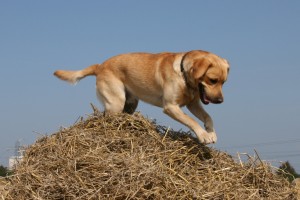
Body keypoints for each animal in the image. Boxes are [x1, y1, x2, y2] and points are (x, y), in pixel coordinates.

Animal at [54, 50, 230, 144]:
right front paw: (203, 136)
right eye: (212, 80)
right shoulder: (171, 107)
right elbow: (191, 120)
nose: (220, 101)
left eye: (224, 82)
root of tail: (99, 66)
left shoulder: (193, 104)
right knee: (106, 118)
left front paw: (211, 133)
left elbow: (208, 117)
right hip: (116, 102)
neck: (182, 74)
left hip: (130, 104)